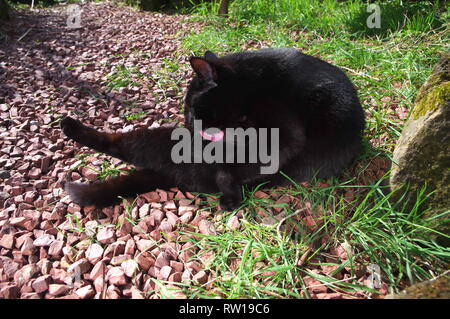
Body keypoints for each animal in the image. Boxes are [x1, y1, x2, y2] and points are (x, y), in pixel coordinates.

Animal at [60, 48, 366, 210]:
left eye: (191, 107)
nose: (186, 123)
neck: (254, 85)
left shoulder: (281, 135)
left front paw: (230, 194)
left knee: (121, 143)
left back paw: (69, 126)